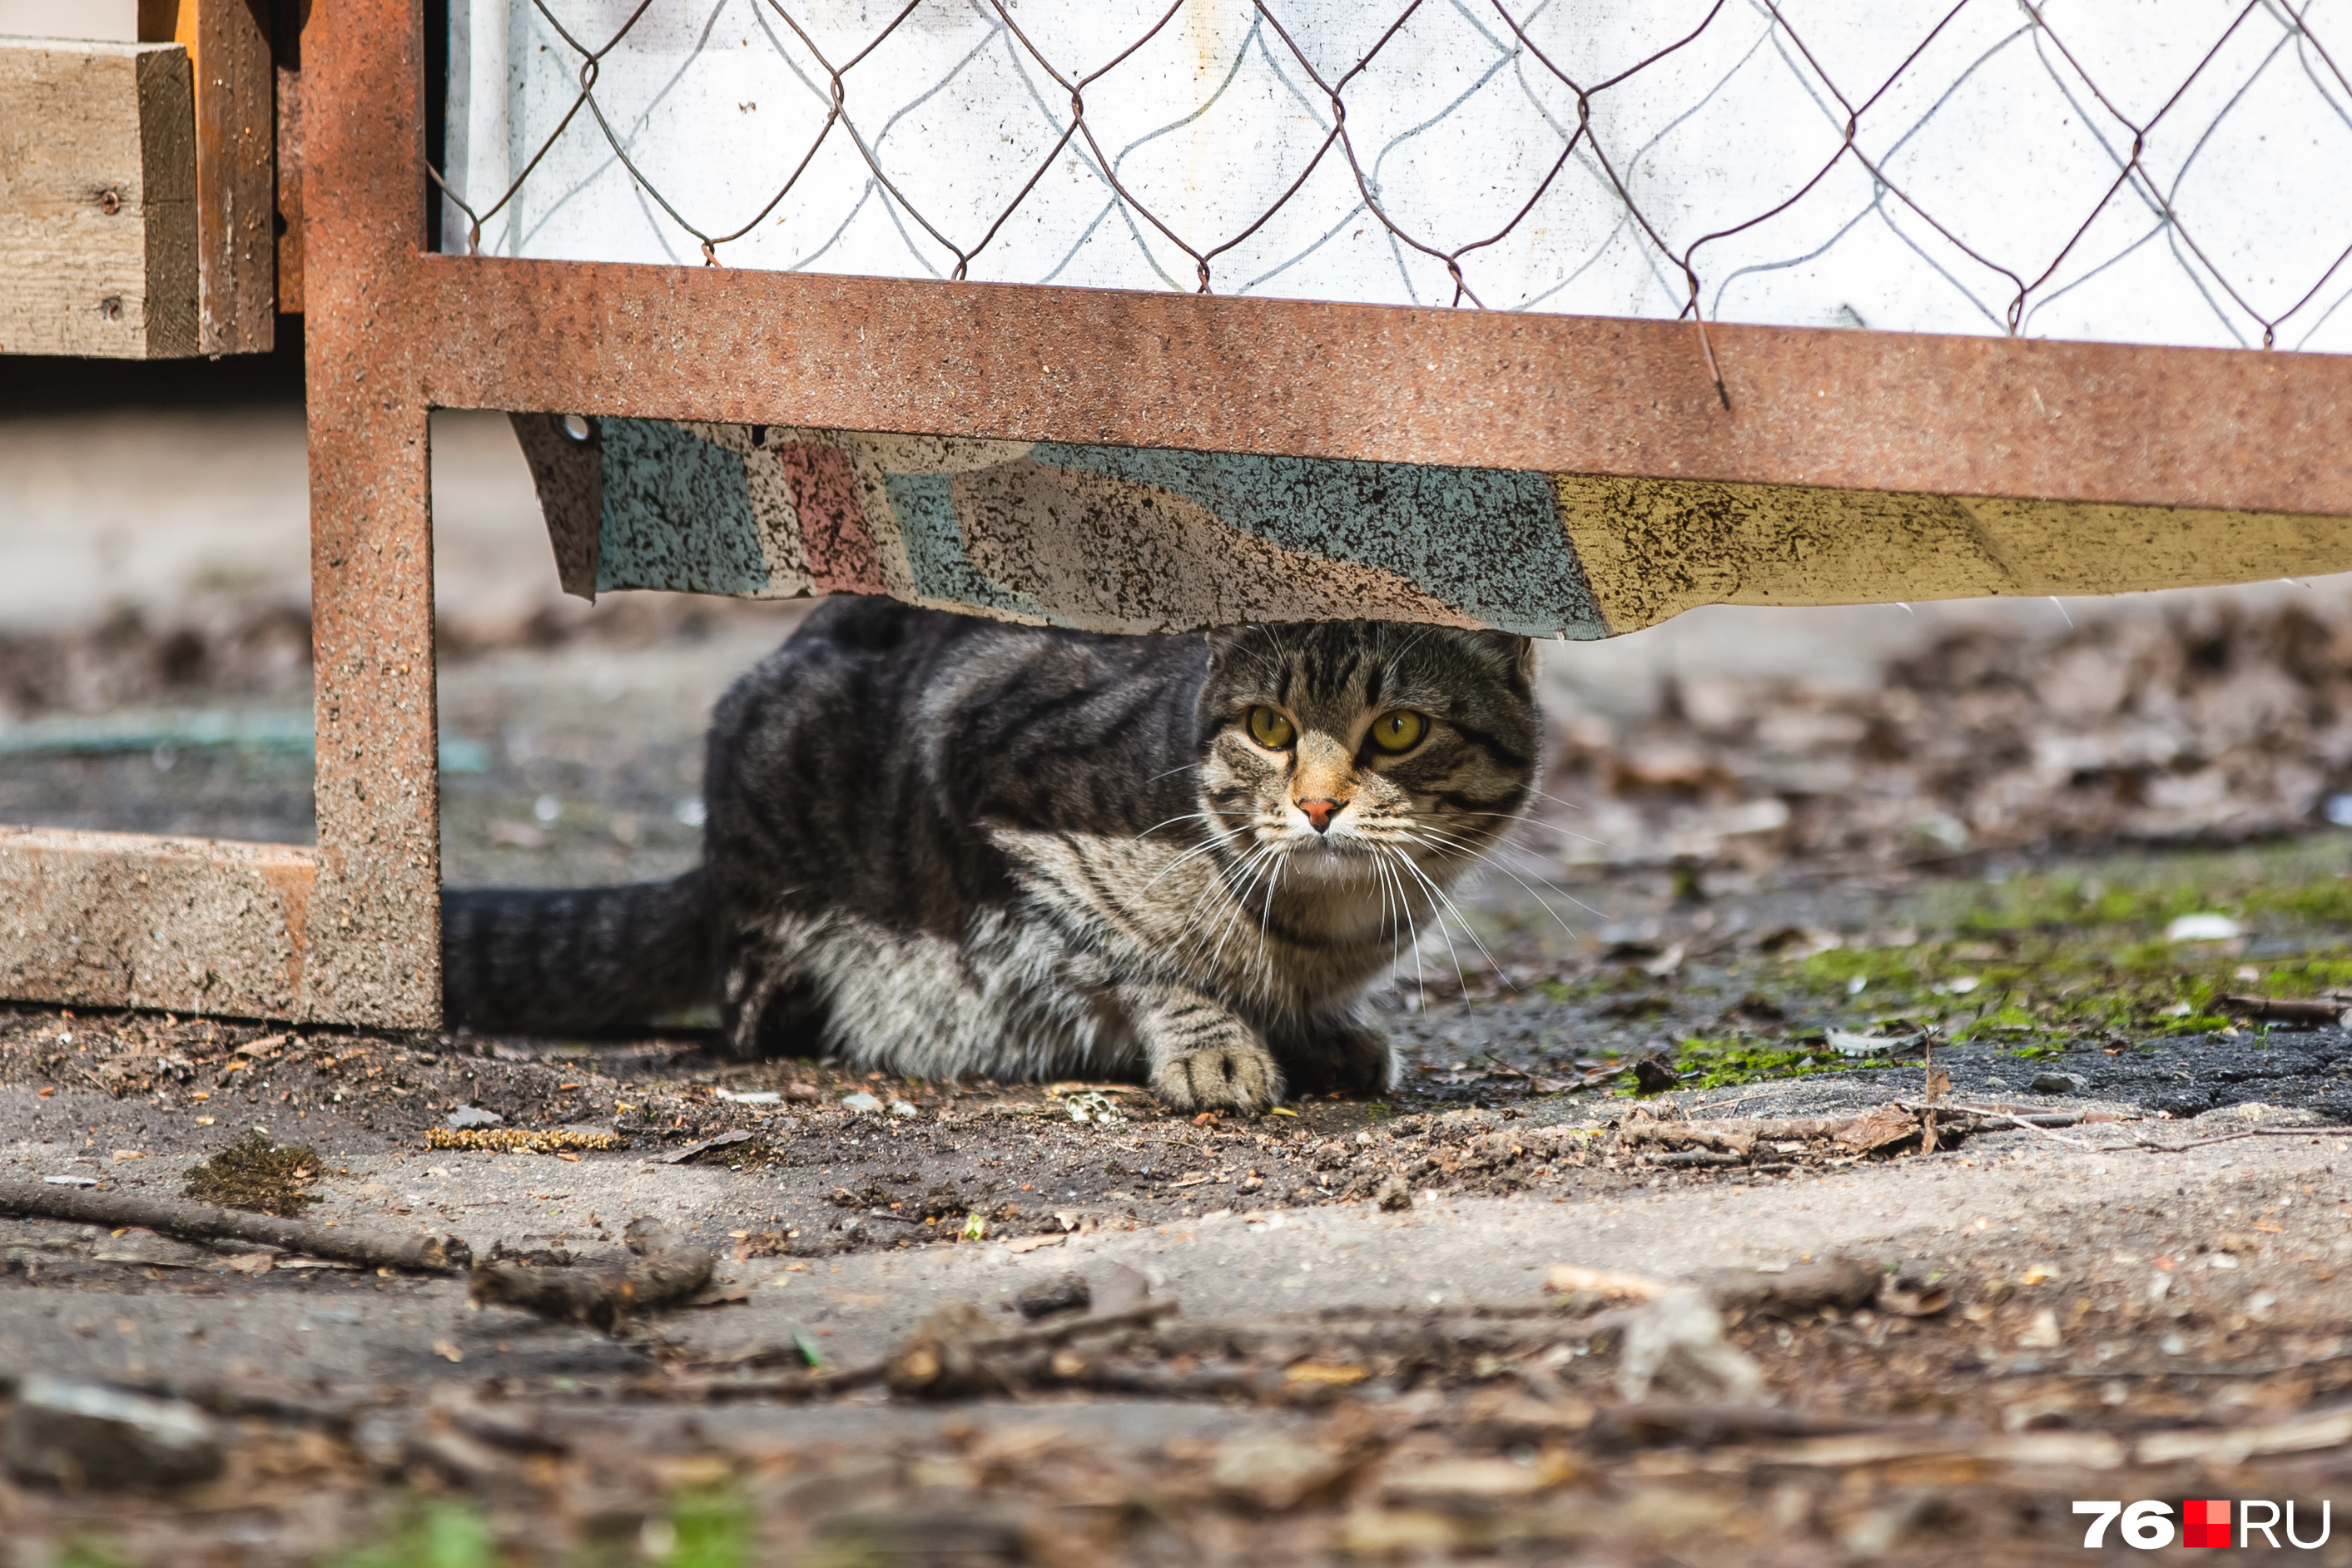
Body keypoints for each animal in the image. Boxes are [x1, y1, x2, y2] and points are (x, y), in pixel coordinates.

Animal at [442, 594, 1542, 1109]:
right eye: (1270, 728)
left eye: (1398, 730)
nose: (1315, 806)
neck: (1322, 925)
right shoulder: (984, 757)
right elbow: (1129, 954)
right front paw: (1215, 1040)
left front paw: (1320, 1030)